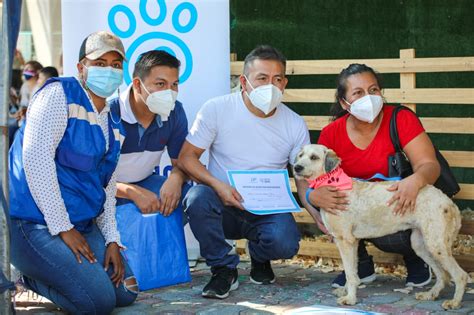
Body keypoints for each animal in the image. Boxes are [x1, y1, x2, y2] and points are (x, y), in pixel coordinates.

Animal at [290, 145, 468, 312]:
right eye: (300, 155)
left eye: (314, 157)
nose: (296, 167)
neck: (334, 183)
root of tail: (449, 202)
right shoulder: (351, 242)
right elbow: (352, 271)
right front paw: (346, 291)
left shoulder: (345, 240)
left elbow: (350, 273)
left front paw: (350, 299)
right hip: (421, 244)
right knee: (443, 275)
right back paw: (430, 294)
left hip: (436, 245)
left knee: (460, 275)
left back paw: (454, 302)